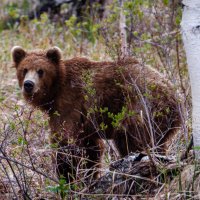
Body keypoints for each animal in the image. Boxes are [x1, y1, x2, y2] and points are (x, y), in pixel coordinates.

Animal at [11, 46, 181, 182]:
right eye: (24, 69)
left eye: (41, 71)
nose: (28, 85)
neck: (55, 90)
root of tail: (175, 96)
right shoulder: (84, 123)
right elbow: (92, 149)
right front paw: (88, 177)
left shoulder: (70, 103)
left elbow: (64, 142)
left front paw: (67, 178)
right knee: (157, 144)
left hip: (141, 105)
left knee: (131, 138)